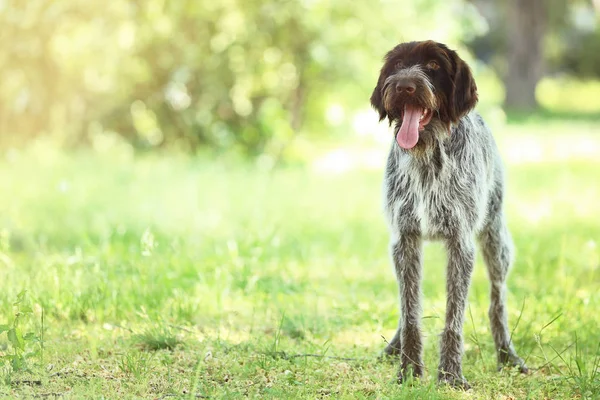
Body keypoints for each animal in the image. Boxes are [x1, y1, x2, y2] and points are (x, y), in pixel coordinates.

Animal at [370, 40, 528, 388]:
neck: (428, 153)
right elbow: (410, 313)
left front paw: (450, 375)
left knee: (497, 301)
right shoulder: (404, 240)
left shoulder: (461, 243)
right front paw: (408, 370)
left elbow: (453, 317)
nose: (404, 85)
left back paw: (507, 355)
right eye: (397, 65)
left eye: (433, 66)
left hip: (496, 243)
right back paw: (393, 348)